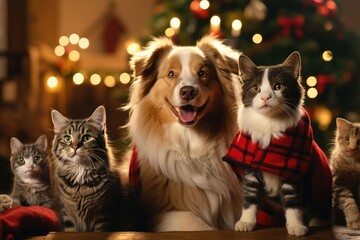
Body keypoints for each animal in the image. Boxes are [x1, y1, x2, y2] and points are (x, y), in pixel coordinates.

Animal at [122, 35, 243, 231]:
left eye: (202, 73)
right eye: (171, 74)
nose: (188, 92)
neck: (191, 142)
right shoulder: (162, 212)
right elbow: (195, 221)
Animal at [224, 51, 334, 236]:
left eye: (278, 87)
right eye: (255, 88)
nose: (265, 97)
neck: (269, 122)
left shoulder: (293, 167)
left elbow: (292, 199)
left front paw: (296, 226)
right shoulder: (250, 166)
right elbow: (250, 194)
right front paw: (246, 221)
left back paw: (317, 221)